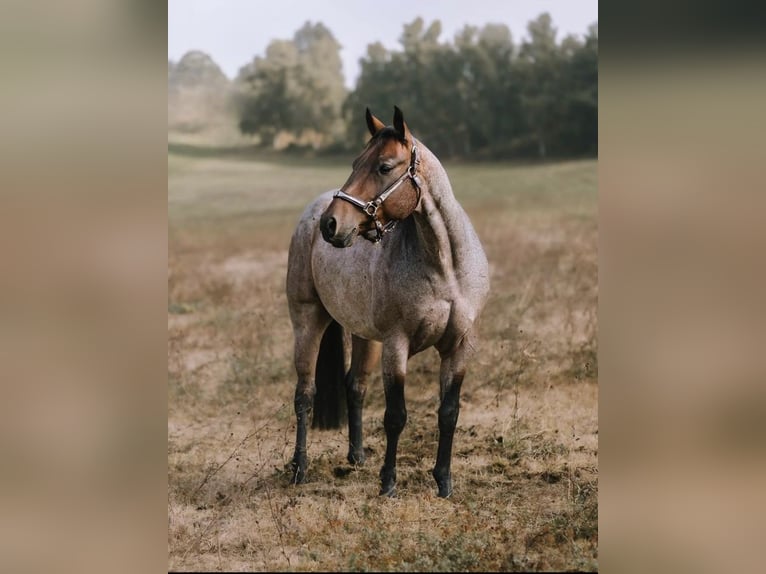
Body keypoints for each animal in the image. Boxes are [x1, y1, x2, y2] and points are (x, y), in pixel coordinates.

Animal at [285, 106, 490, 497]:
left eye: (384, 167)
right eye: (355, 163)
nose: (331, 224)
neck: (445, 266)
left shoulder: (460, 346)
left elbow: (449, 413)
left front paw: (444, 482)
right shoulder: (398, 345)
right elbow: (396, 416)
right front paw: (389, 483)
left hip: (365, 335)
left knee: (355, 385)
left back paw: (357, 456)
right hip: (308, 321)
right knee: (305, 394)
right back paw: (299, 468)